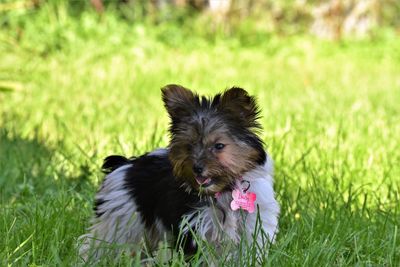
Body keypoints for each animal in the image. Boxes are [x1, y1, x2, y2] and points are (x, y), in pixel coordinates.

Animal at [77, 85, 278, 262]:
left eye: (219, 146)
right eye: (189, 146)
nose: (197, 168)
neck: (225, 189)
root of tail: (125, 164)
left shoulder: (254, 223)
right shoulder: (197, 226)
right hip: (122, 215)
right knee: (101, 242)